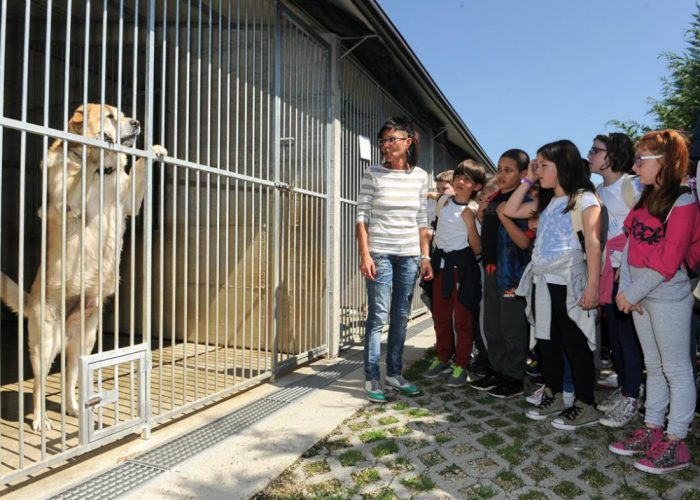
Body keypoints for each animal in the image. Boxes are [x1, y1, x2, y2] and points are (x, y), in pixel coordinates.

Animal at [0, 103, 167, 432]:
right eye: (111, 116)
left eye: (123, 113)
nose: (137, 122)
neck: (104, 174)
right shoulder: (68, 203)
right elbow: (83, 175)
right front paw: (95, 151)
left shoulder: (129, 201)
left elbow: (138, 168)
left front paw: (153, 150)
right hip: (45, 343)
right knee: (38, 385)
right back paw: (40, 420)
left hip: (84, 342)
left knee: (70, 378)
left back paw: (75, 409)